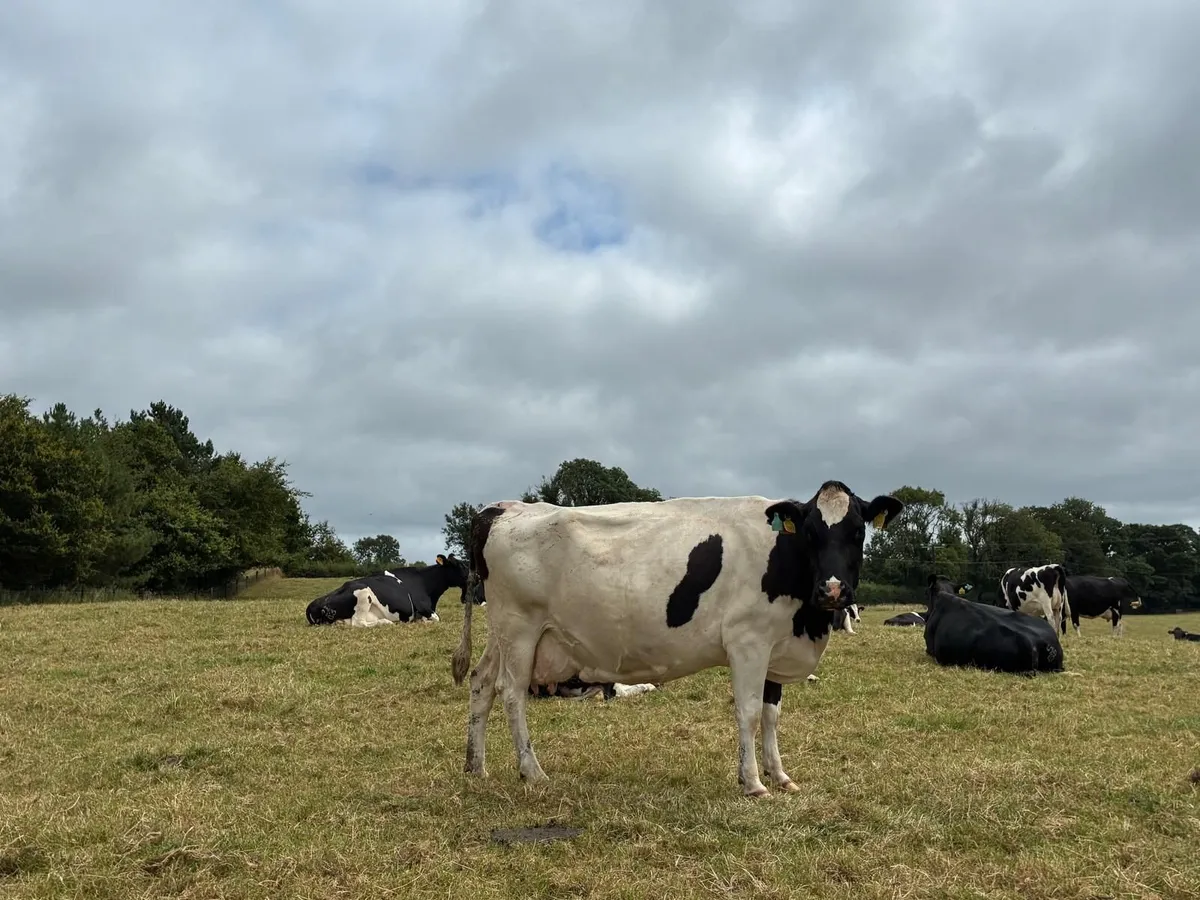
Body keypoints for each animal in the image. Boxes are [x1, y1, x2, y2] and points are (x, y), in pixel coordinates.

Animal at [305, 554, 468, 625]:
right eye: (459, 565)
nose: (473, 575)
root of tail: (315, 604)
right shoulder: (424, 607)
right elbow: (436, 618)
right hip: (363, 594)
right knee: (358, 622)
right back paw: (386, 622)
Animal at [450, 480, 905, 797]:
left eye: (858, 532)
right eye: (811, 533)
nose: (833, 590)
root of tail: (502, 508)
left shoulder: (774, 647)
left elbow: (772, 715)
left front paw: (780, 775)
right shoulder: (748, 642)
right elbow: (749, 713)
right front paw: (753, 783)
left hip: (504, 632)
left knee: (481, 682)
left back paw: (476, 766)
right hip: (520, 628)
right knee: (512, 693)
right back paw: (532, 771)